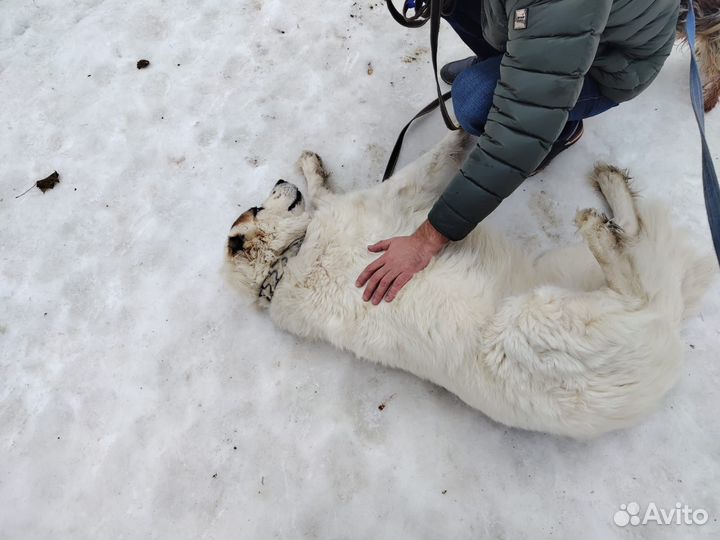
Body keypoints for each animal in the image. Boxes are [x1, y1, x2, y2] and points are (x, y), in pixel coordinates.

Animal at [226, 132, 716, 438]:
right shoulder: (389, 198)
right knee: (635, 279)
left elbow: (323, 189)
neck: (283, 265)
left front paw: (308, 167)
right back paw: (599, 223)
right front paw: (463, 131)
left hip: (561, 274)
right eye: (257, 207)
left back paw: (611, 192)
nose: (278, 180)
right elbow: (428, 161)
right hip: (539, 316)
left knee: (640, 244)